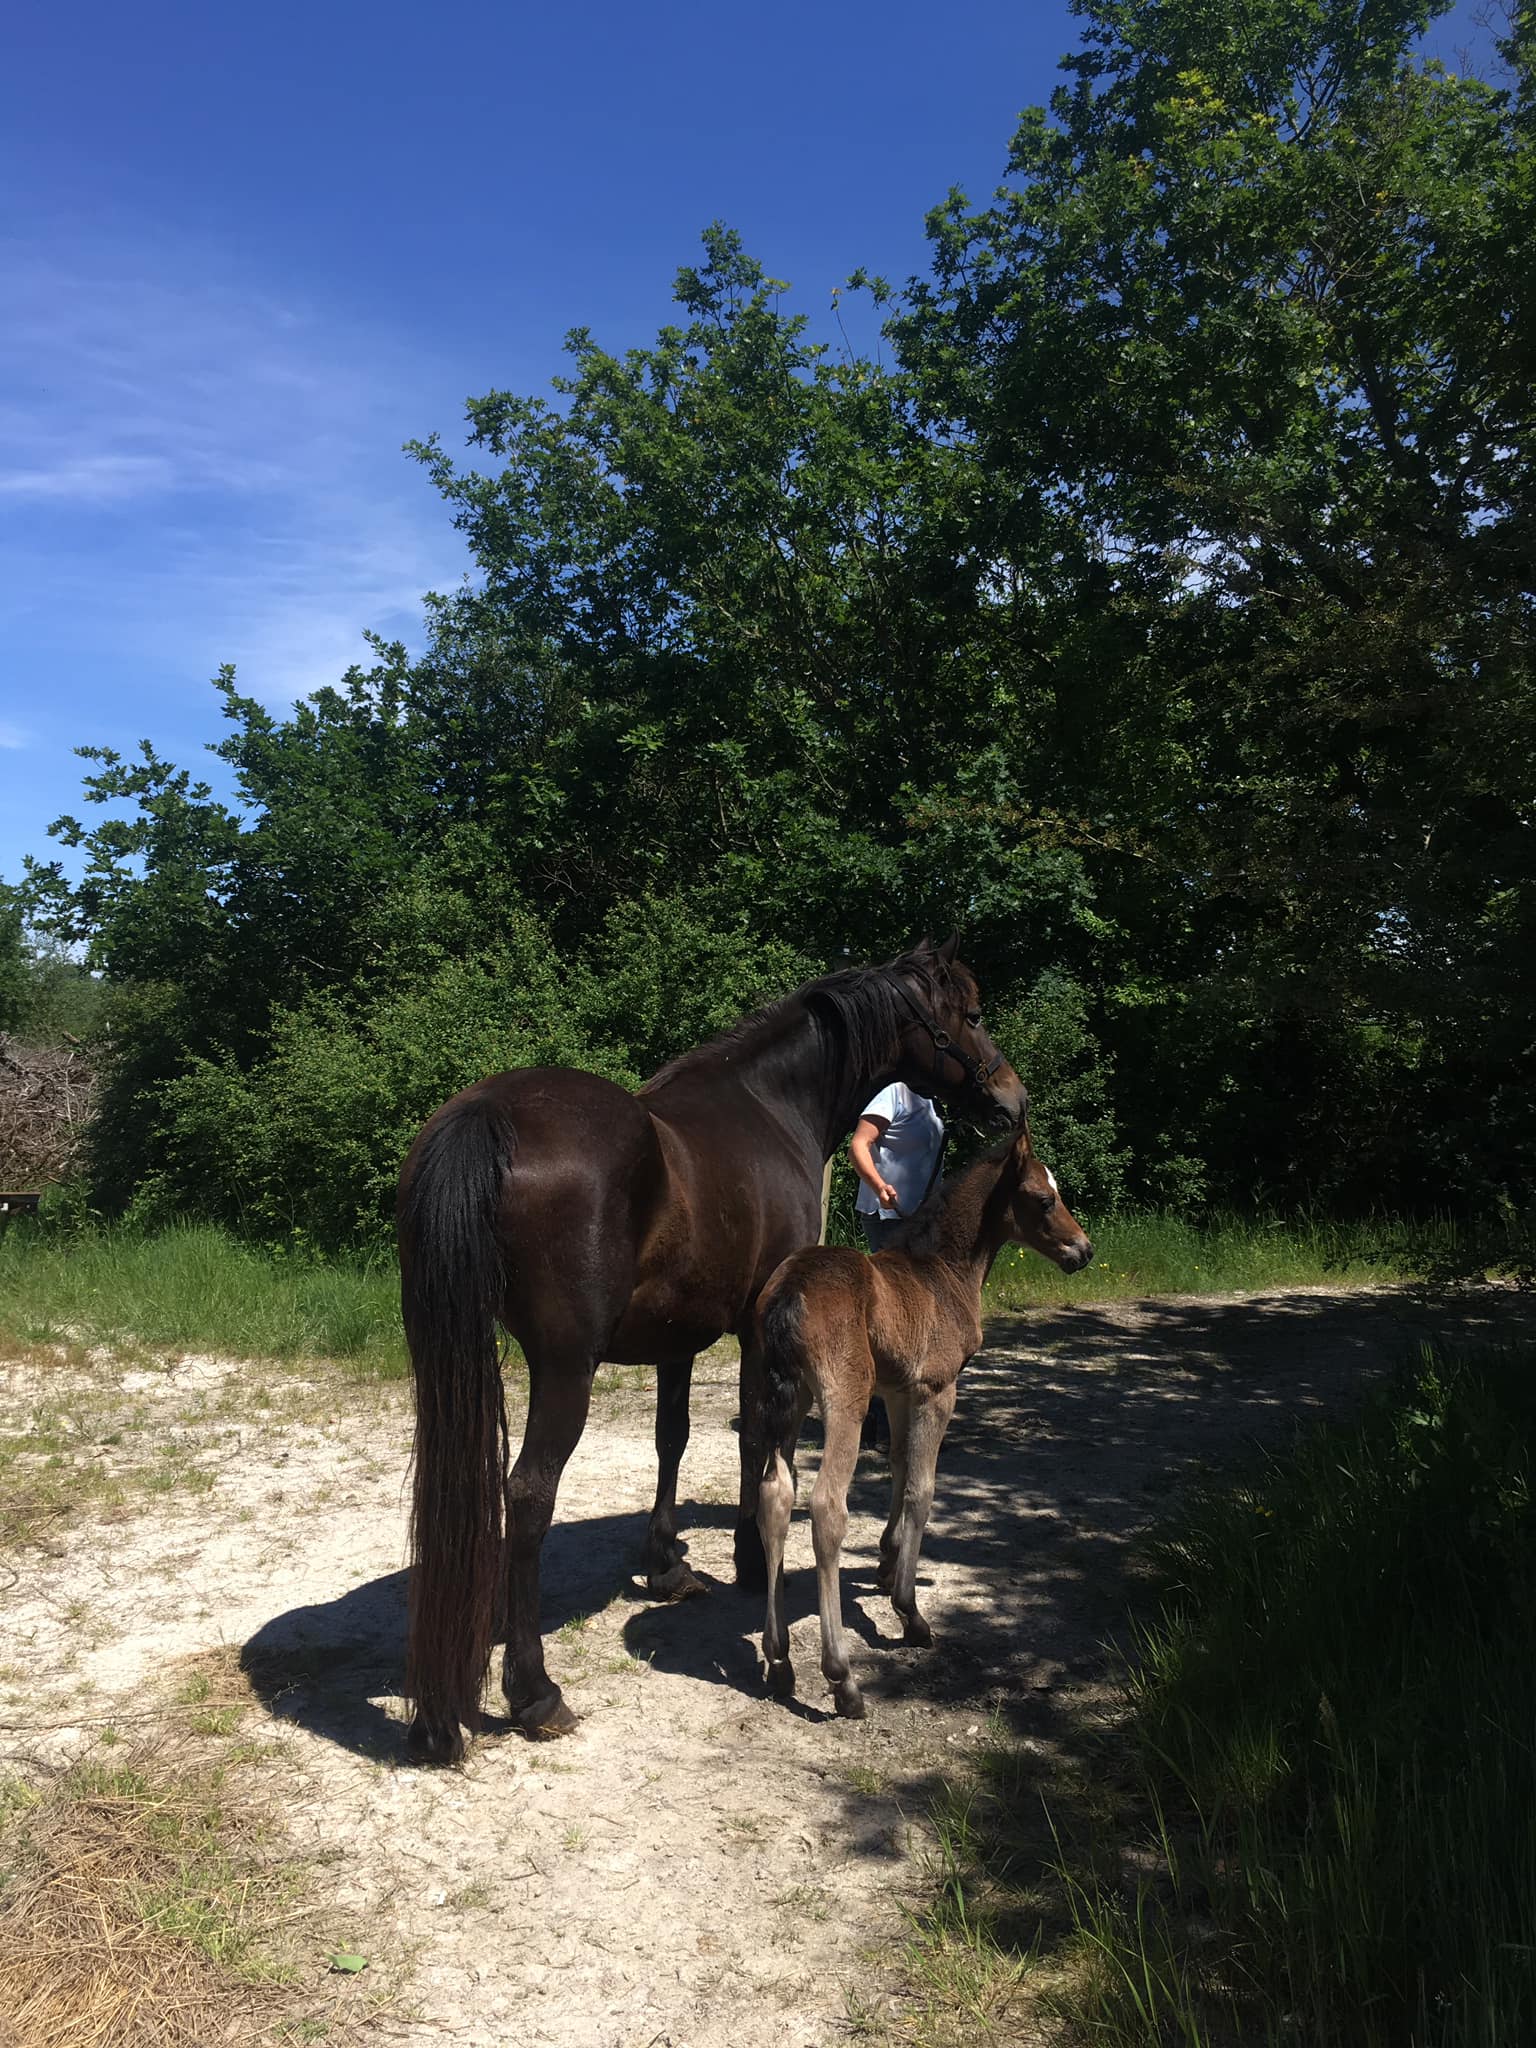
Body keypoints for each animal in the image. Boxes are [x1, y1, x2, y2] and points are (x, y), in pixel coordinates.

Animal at [753, 1130, 1089, 1720]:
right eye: (1044, 1198)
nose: (1084, 1249)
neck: (942, 1271)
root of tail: (790, 1289)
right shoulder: (938, 1389)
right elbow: (922, 1487)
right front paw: (909, 1611)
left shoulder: (899, 1390)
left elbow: (897, 1464)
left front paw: (887, 1563)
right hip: (844, 1399)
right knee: (825, 1507)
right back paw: (842, 1677)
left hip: (789, 1403)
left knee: (775, 1495)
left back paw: (780, 1658)